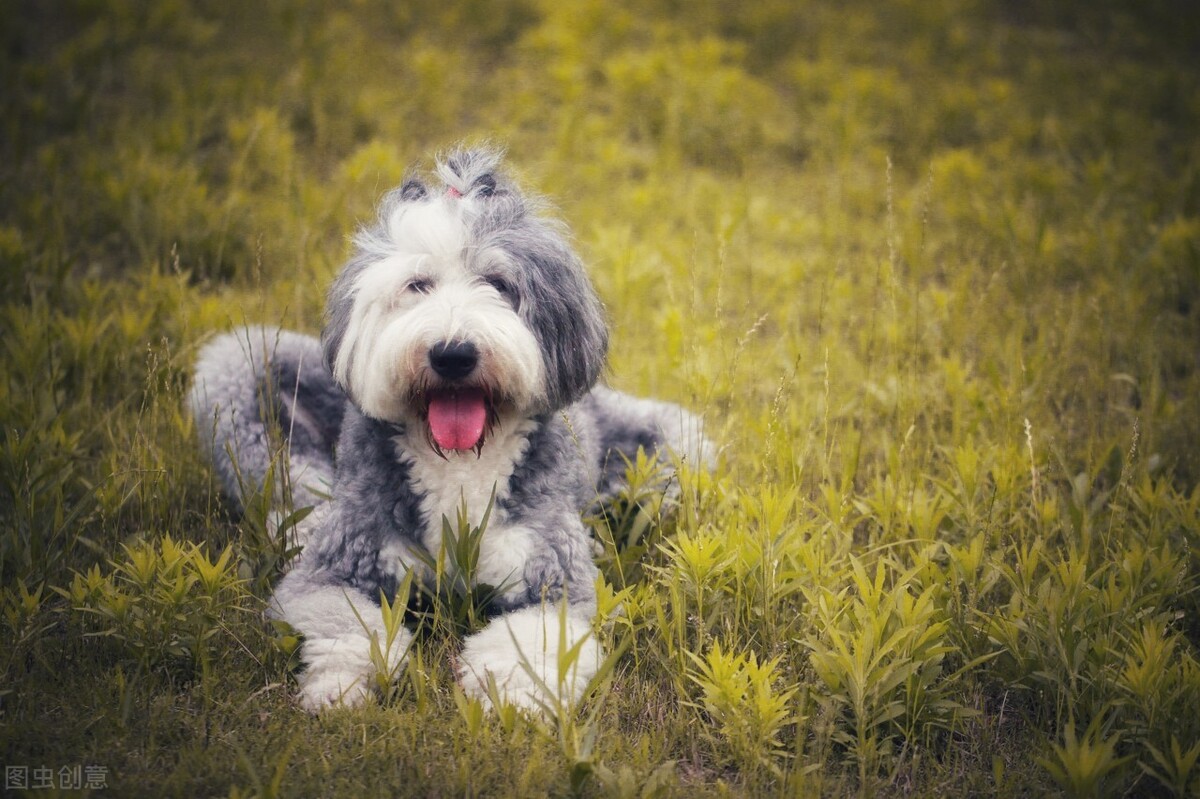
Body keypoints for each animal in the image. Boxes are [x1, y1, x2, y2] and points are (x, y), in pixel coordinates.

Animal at [188, 146, 710, 710]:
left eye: (499, 283)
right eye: (418, 284)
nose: (453, 354)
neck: (459, 466)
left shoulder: (552, 579)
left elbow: (532, 637)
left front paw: (512, 695)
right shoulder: (333, 569)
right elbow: (344, 623)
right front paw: (338, 688)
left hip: (674, 454)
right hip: (238, 377)